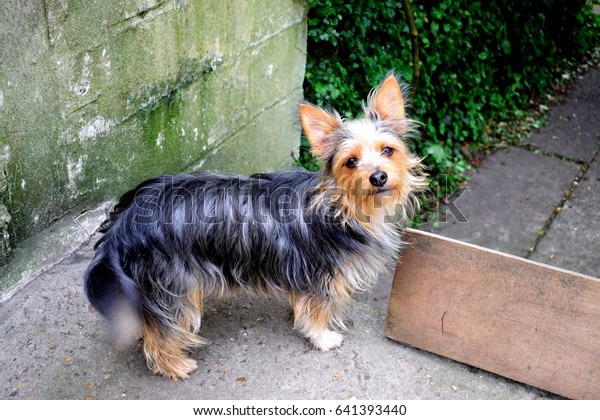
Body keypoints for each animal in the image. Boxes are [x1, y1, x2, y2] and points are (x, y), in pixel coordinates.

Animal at [84, 73, 428, 380]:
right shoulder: (319, 276)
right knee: (163, 331)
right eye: (351, 161)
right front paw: (322, 337)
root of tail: (124, 222)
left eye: (388, 150)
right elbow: (316, 311)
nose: (378, 177)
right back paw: (175, 365)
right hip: (174, 284)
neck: (342, 207)